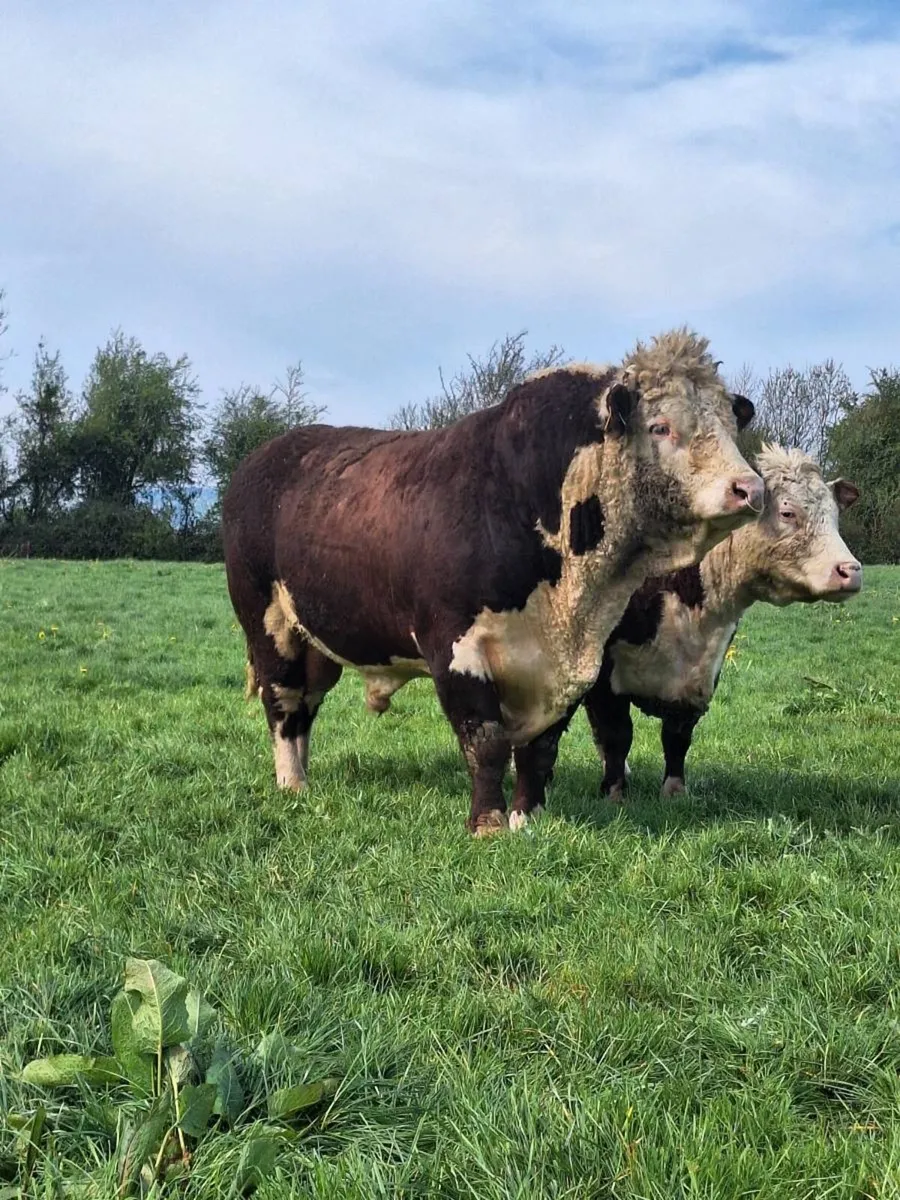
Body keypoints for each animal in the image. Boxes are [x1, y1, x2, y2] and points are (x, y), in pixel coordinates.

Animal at [222, 328, 763, 835]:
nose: (750, 488)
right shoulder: (454, 648)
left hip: (317, 640)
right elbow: (485, 741)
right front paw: (488, 822)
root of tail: (266, 455)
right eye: (661, 426)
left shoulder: (568, 666)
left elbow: (540, 749)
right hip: (268, 624)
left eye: (728, 424)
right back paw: (292, 783)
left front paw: (529, 816)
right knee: (283, 702)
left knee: (306, 702)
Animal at [579, 444, 861, 801]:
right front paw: (615, 794)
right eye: (787, 512)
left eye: (836, 516)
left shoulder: (702, 674)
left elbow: (677, 737)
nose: (850, 571)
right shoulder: (603, 673)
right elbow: (617, 733)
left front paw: (674, 793)